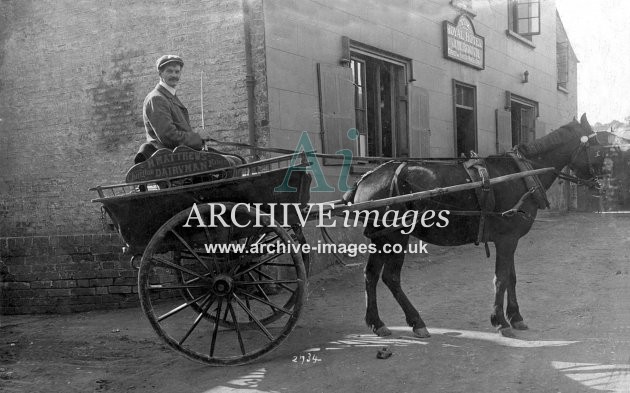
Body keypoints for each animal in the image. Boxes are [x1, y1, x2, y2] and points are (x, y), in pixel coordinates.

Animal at [346, 113, 608, 336]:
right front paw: (500, 321)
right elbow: (501, 278)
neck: (521, 174)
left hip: (381, 237)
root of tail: (368, 178)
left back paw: (376, 322)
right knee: (390, 277)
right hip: (396, 236)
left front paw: (515, 317)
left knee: (371, 274)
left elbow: (511, 277)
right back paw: (416, 321)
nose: (601, 184)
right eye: (597, 151)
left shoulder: (509, 239)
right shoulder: (506, 239)